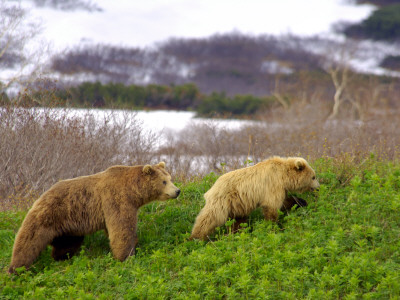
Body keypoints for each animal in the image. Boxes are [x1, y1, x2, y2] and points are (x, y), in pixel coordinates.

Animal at [8, 163, 180, 274]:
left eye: (170, 178)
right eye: (164, 181)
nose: (177, 191)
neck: (133, 192)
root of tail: (40, 195)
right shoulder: (116, 199)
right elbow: (122, 229)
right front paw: (126, 256)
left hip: (70, 226)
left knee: (66, 244)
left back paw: (62, 257)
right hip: (49, 214)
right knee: (29, 239)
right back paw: (16, 268)